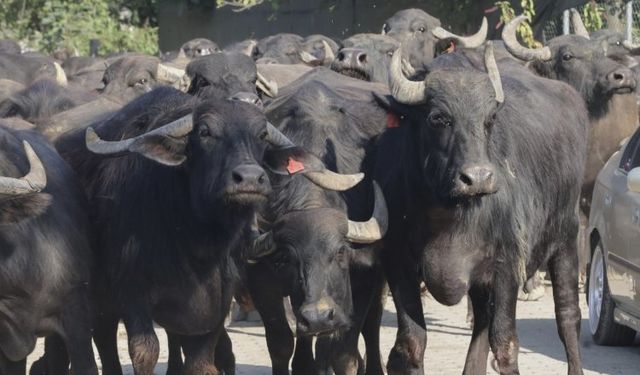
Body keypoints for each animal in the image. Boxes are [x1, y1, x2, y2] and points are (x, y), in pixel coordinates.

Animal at [245, 68, 388, 375]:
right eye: (286, 259)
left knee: (371, 324)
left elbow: (344, 350)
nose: (319, 317)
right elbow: (281, 344)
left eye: (340, 252)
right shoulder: (259, 276)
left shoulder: (364, 274)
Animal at [376, 42, 592, 374]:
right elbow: (411, 343)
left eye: (489, 119)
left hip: (566, 238)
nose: (478, 178)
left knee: (568, 316)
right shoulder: (399, 263)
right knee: (481, 321)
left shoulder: (507, 266)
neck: (449, 218)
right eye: (438, 118)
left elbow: (505, 344)